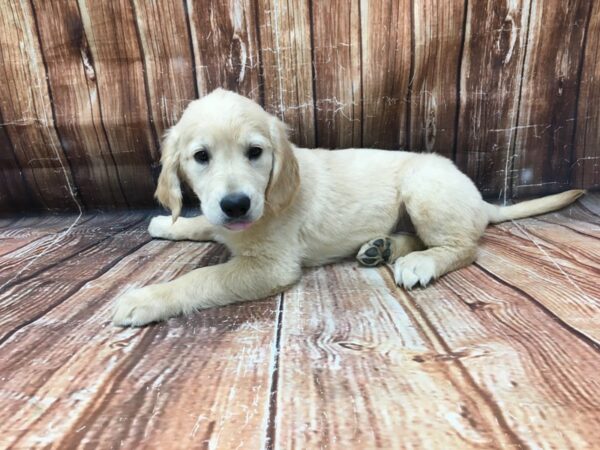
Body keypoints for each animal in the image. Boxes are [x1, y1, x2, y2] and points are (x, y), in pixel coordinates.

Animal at [111, 89, 580, 326]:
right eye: (201, 157)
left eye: (255, 152)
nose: (237, 203)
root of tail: (480, 199)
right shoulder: (225, 220)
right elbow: (204, 224)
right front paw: (167, 223)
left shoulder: (270, 266)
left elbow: (203, 278)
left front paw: (145, 299)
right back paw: (382, 248)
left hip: (423, 185)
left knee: (466, 247)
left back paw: (420, 262)